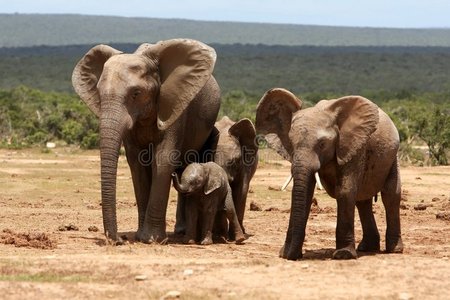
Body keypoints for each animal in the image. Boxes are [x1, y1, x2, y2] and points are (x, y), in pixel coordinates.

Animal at [71, 38, 221, 244]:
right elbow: (137, 163)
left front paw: (152, 239)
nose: (118, 240)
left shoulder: (173, 106)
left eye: (136, 93)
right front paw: (141, 237)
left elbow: (163, 159)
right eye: (99, 93)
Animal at [256, 88, 404, 258]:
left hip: (393, 157)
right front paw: (287, 253)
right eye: (291, 144)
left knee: (390, 195)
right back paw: (367, 248)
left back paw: (394, 250)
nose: (288, 255)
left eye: (322, 144)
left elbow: (345, 191)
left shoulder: (353, 146)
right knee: (362, 201)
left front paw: (343, 255)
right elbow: (306, 192)